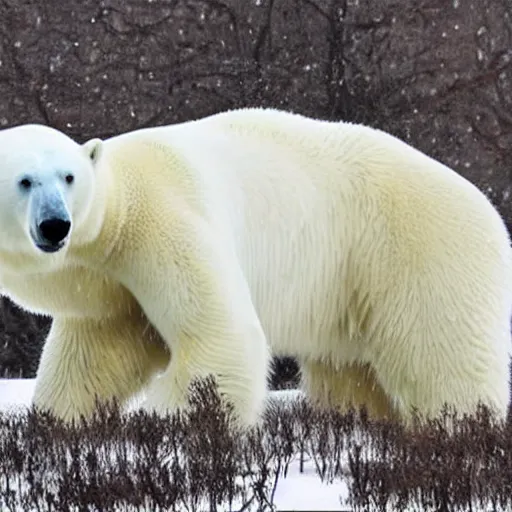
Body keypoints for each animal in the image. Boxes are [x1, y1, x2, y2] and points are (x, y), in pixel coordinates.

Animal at [0, 109, 510, 428]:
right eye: (24, 180)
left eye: (68, 177)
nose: (55, 224)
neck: (122, 209)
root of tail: (490, 214)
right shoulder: (109, 282)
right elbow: (96, 353)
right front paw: (59, 421)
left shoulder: (165, 224)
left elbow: (220, 336)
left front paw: (159, 422)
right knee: (349, 374)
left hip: (418, 252)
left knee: (441, 358)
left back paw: (460, 428)